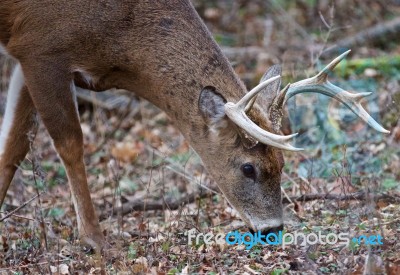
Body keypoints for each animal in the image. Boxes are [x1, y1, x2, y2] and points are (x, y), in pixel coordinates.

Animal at [0, 0, 390, 251]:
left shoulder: (24, 54)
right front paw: (97, 241)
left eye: (282, 164)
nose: (272, 230)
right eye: (248, 168)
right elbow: (69, 143)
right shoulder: (41, 49)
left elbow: (13, 145)